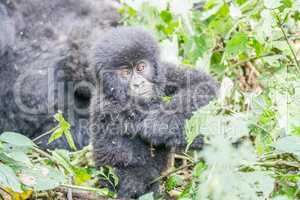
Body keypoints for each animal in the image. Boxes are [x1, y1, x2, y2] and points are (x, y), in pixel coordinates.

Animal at [89, 27, 218, 198]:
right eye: (125, 73)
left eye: (141, 68)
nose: (138, 83)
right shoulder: (111, 106)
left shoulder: (166, 72)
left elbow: (202, 83)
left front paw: (162, 120)